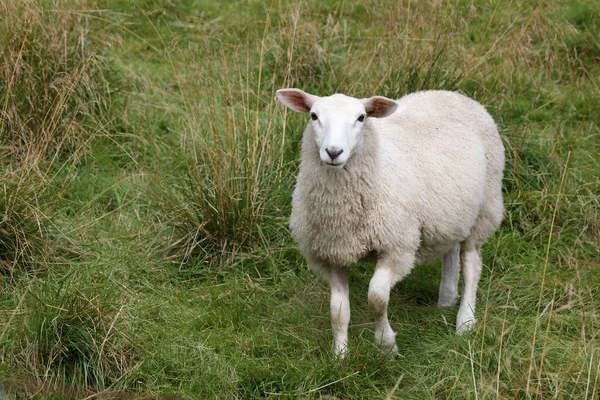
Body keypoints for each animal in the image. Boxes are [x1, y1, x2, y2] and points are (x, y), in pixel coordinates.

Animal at [276, 87, 506, 356]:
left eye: (362, 118)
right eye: (314, 116)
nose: (333, 152)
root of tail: (452, 93)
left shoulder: (397, 247)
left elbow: (376, 298)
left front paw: (387, 344)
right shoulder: (332, 254)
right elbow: (338, 311)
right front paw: (340, 355)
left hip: (484, 208)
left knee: (471, 265)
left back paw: (465, 321)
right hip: (453, 214)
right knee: (451, 250)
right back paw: (447, 299)